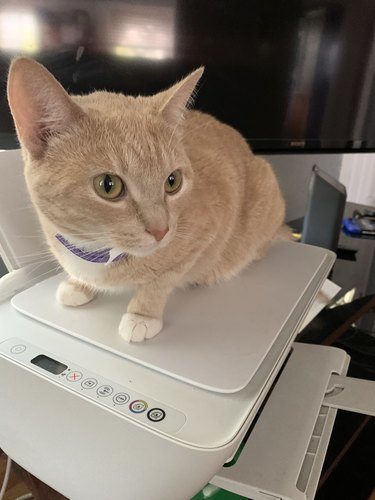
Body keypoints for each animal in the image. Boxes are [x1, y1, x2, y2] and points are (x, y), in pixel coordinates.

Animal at [6, 57, 290, 340]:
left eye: (173, 181)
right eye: (108, 185)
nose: (161, 230)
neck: (98, 252)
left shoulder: (203, 235)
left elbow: (161, 281)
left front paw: (142, 316)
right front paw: (80, 284)